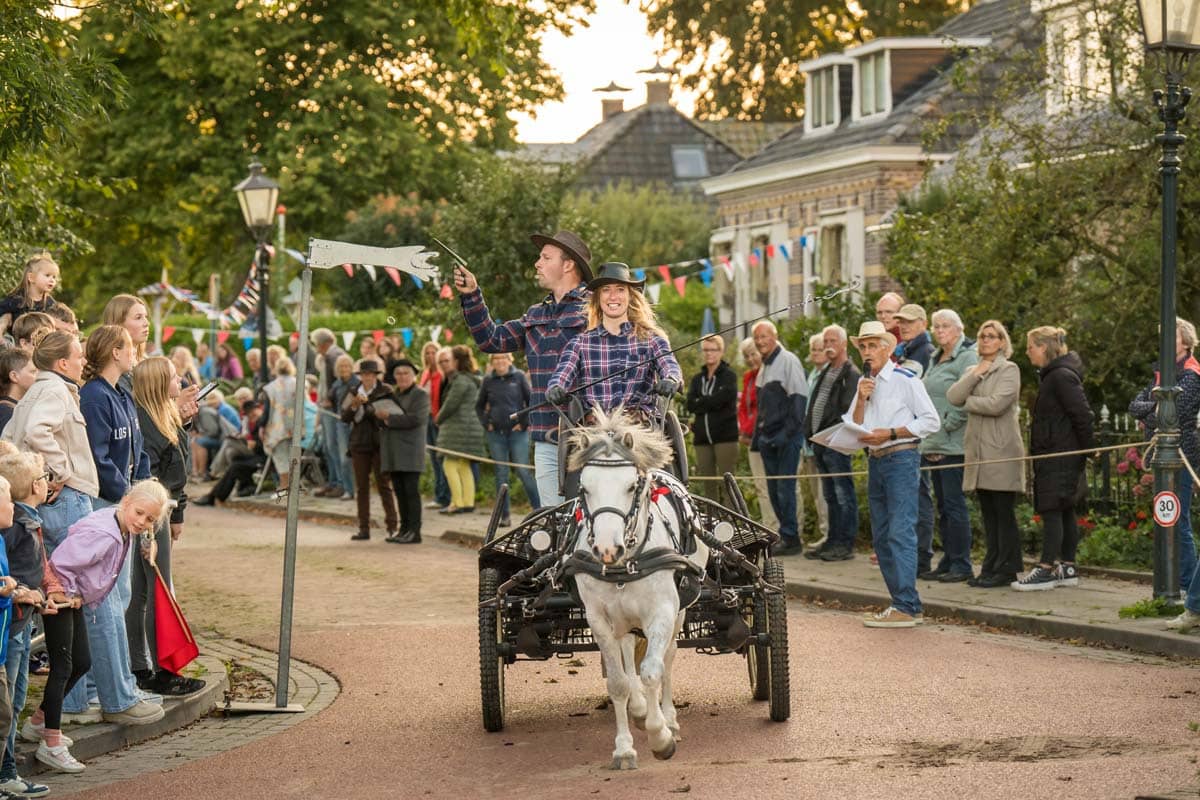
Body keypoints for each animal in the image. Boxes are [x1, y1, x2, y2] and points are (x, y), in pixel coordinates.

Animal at [559, 410, 700, 772]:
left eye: (632, 485)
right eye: (584, 487)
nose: (608, 549)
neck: (624, 565)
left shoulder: (663, 611)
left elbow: (652, 671)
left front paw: (660, 736)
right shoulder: (599, 620)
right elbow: (619, 681)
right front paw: (624, 749)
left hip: (679, 612)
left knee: (667, 658)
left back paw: (669, 720)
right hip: (623, 621)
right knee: (626, 656)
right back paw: (639, 710)